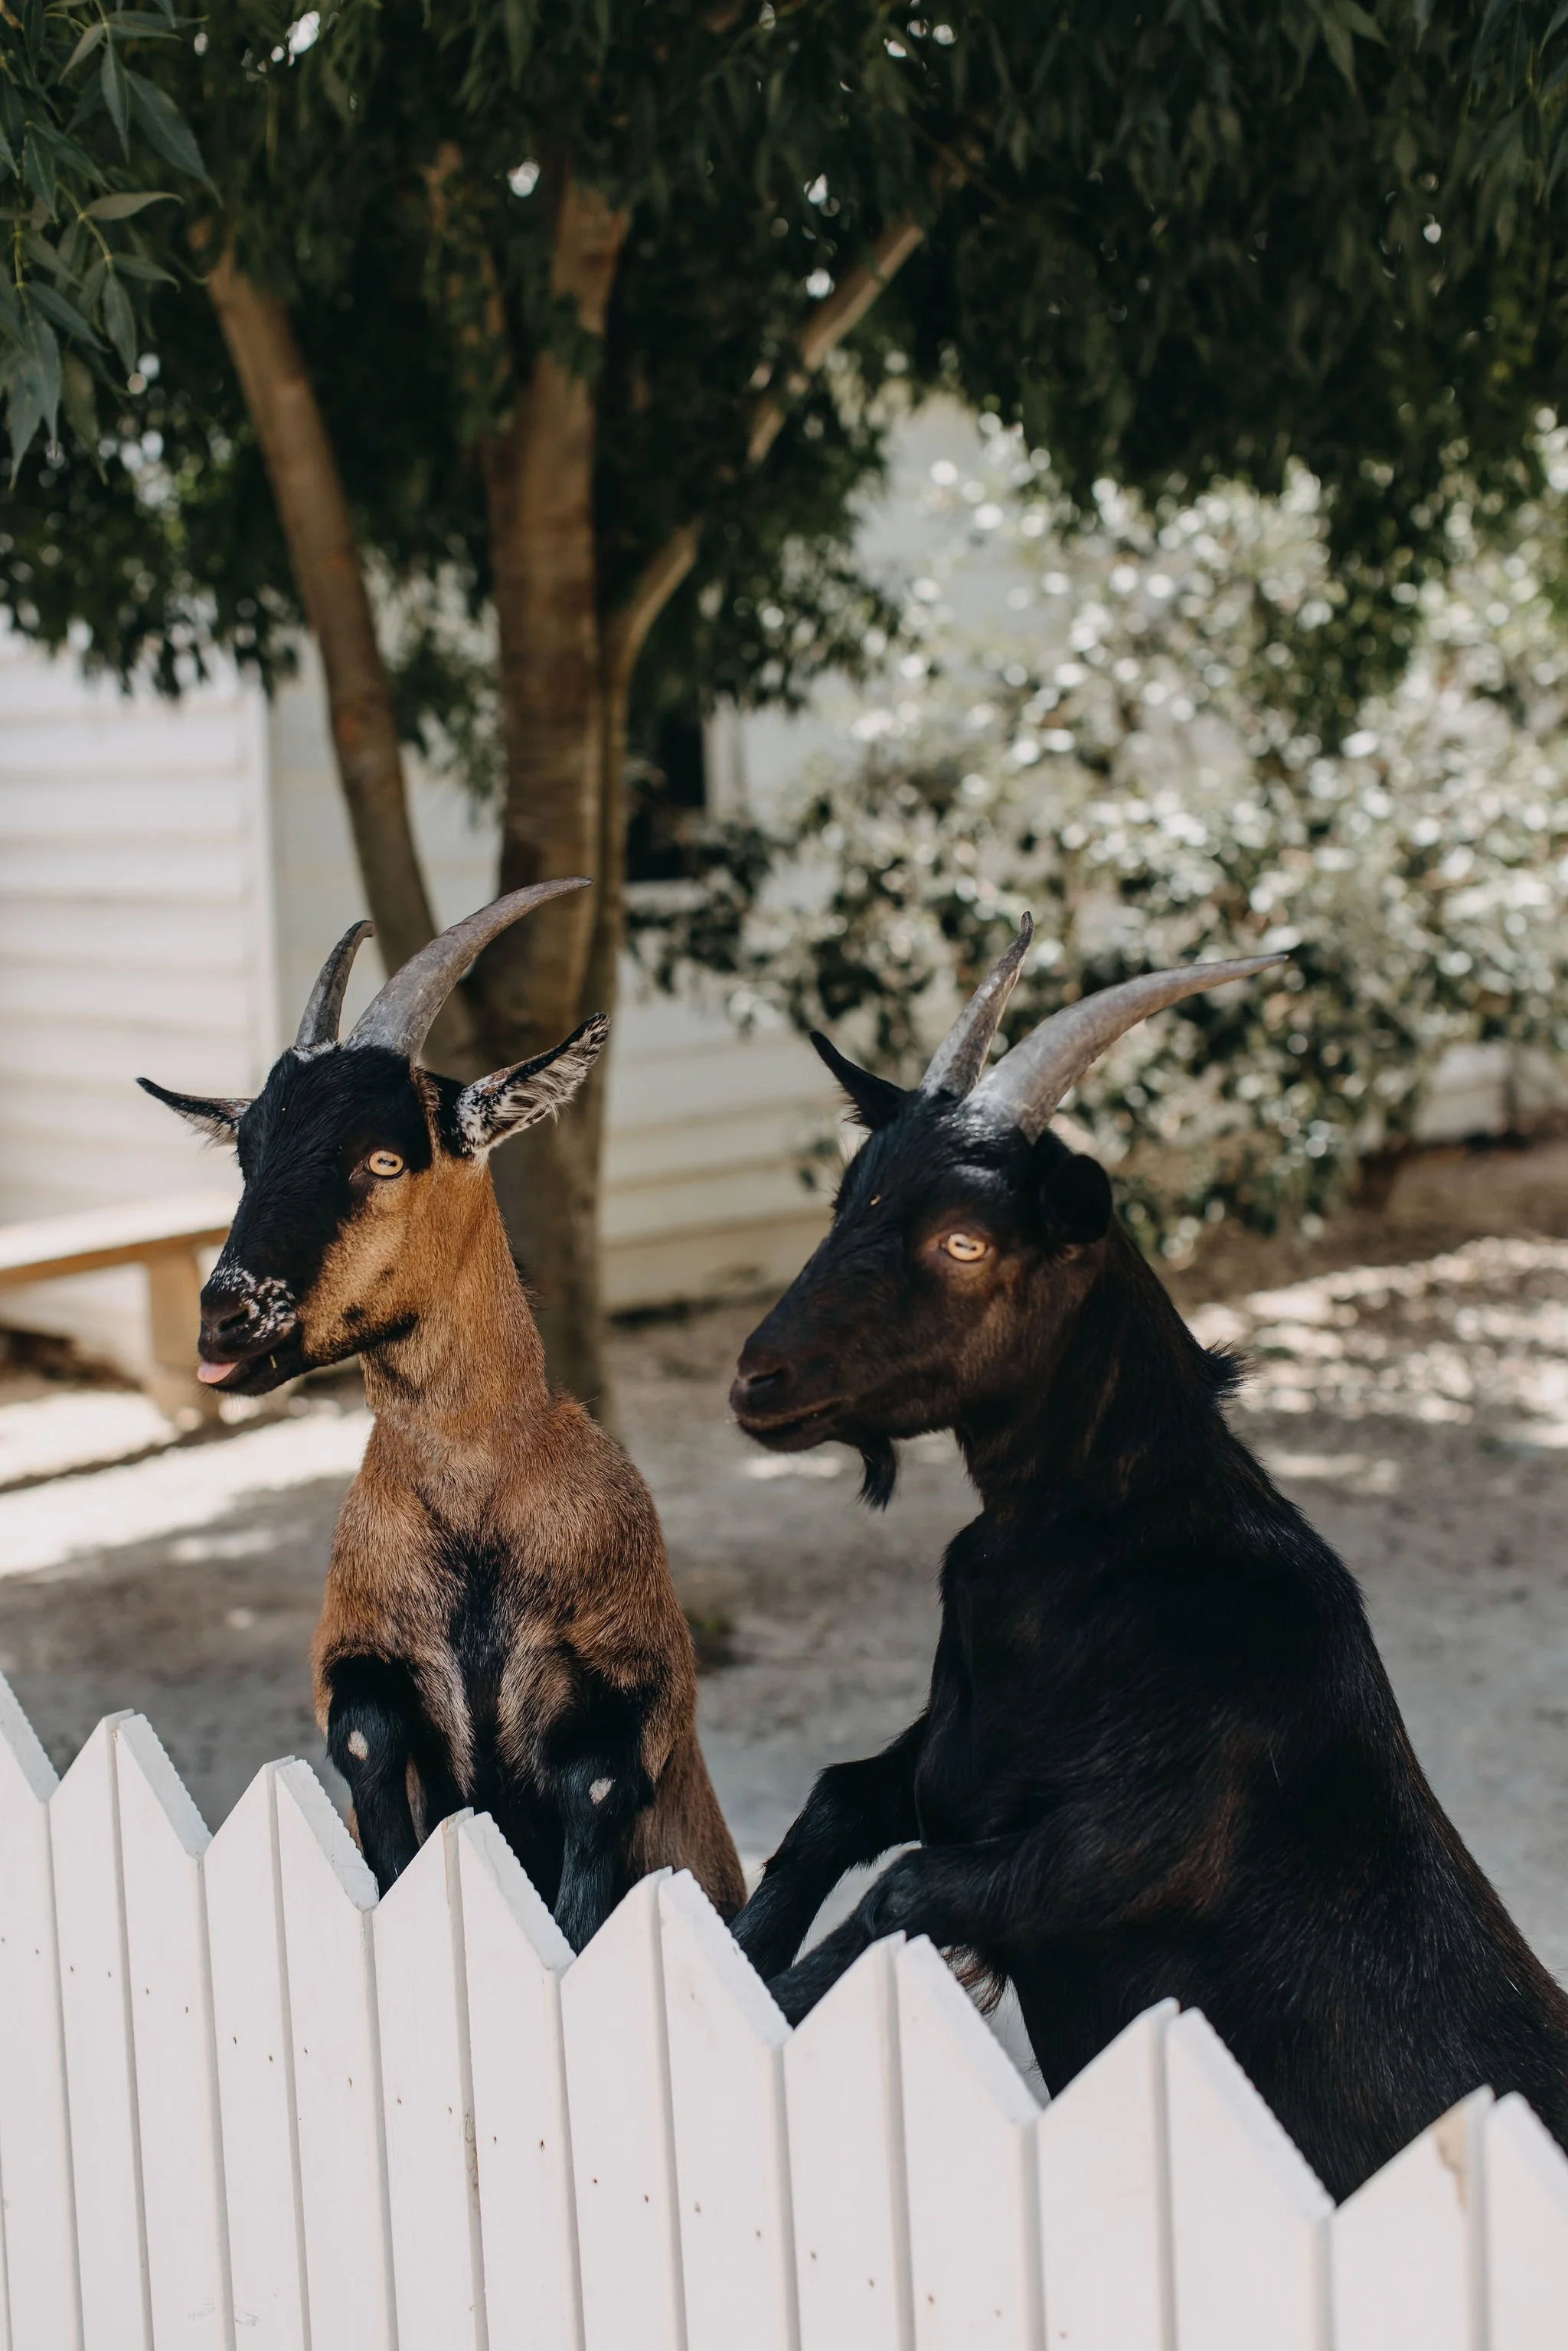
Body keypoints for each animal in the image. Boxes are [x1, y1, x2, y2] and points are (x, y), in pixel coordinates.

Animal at [141, 883, 743, 1946]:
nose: (226, 1318)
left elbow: (590, 1832)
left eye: (385, 1157)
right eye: (249, 1152)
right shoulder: (358, 1661)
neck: (477, 1503)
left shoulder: (630, 1688)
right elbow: (370, 1753)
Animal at [727, 920, 1568, 2197]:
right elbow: (834, 1801)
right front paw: (730, 1944)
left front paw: (766, 1997)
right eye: (847, 1195)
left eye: (965, 1239)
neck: (1110, 1553)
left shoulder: (1113, 1851)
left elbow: (904, 1886)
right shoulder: (947, 1766)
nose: (757, 1379)